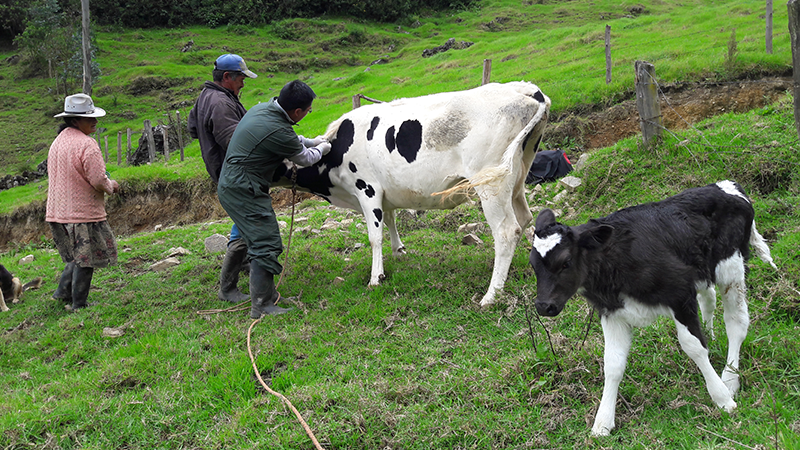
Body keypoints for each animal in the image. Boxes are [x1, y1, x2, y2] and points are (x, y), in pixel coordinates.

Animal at [276, 81, 552, 306]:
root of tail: (527, 90)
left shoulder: (367, 189)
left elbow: (374, 236)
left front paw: (375, 277)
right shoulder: (385, 194)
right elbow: (390, 220)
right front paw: (398, 251)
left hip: (490, 182)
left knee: (506, 231)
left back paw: (491, 294)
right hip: (516, 178)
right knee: (525, 219)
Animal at [532, 180, 776, 436]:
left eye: (566, 262)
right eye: (533, 265)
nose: (543, 306)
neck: (615, 259)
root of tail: (726, 186)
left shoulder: (680, 294)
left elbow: (694, 347)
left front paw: (722, 398)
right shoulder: (612, 312)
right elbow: (613, 364)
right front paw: (603, 422)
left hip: (731, 267)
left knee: (736, 323)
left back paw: (730, 379)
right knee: (708, 298)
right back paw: (711, 335)